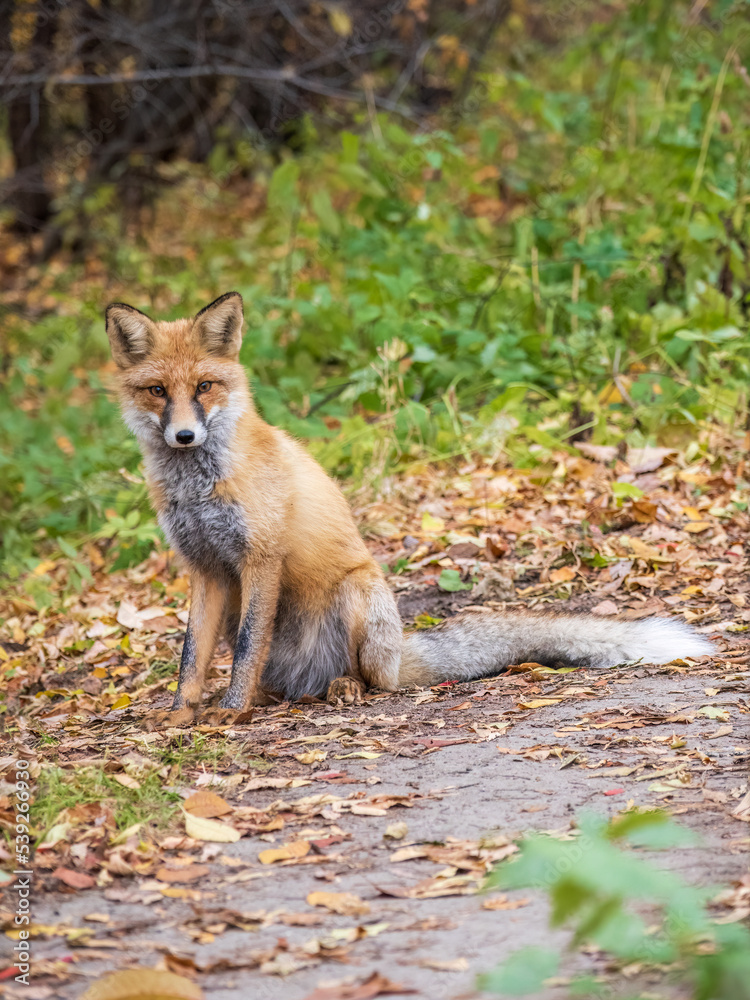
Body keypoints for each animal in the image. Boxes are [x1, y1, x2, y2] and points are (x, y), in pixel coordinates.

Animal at [104, 292, 716, 728]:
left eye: (205, 386)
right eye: (158, 391)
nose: (184, 436)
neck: (198, 487)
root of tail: (399, 654)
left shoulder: (260, 558)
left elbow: (249, 650)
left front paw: (232, 710)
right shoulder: (207, 569)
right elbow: (191, 657)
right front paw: (182, 714)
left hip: (358, 594)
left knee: (370, 681)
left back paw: (343, 688)